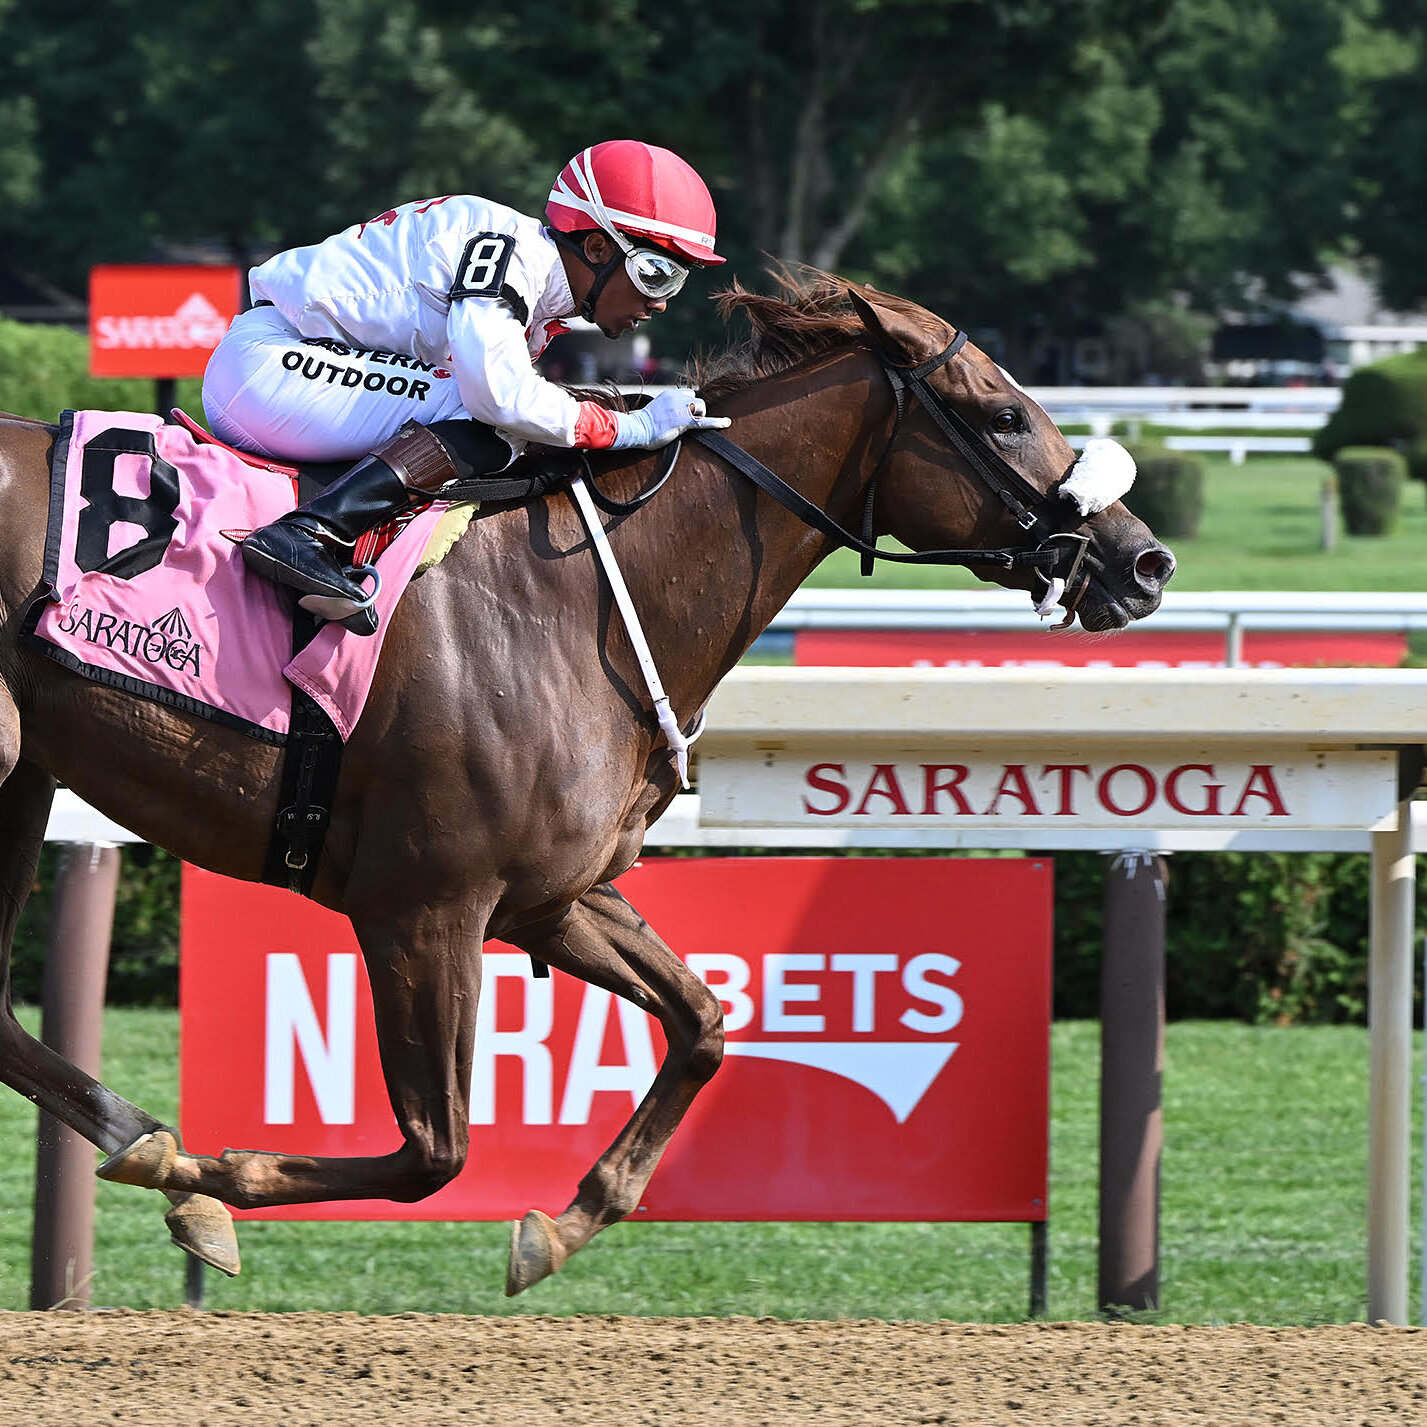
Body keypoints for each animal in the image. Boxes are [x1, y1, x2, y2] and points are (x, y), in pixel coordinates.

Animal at [0, 272, 1174, 1296]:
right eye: (1002, 413)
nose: (1144, 561)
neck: (577, 601)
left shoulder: (550, 897)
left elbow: (702, 1020)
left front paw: (559, 1226)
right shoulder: (422, 905)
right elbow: (436, 1149)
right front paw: (212, 1179)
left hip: (23, 784)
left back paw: (139, 1136)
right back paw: (155, 1149)